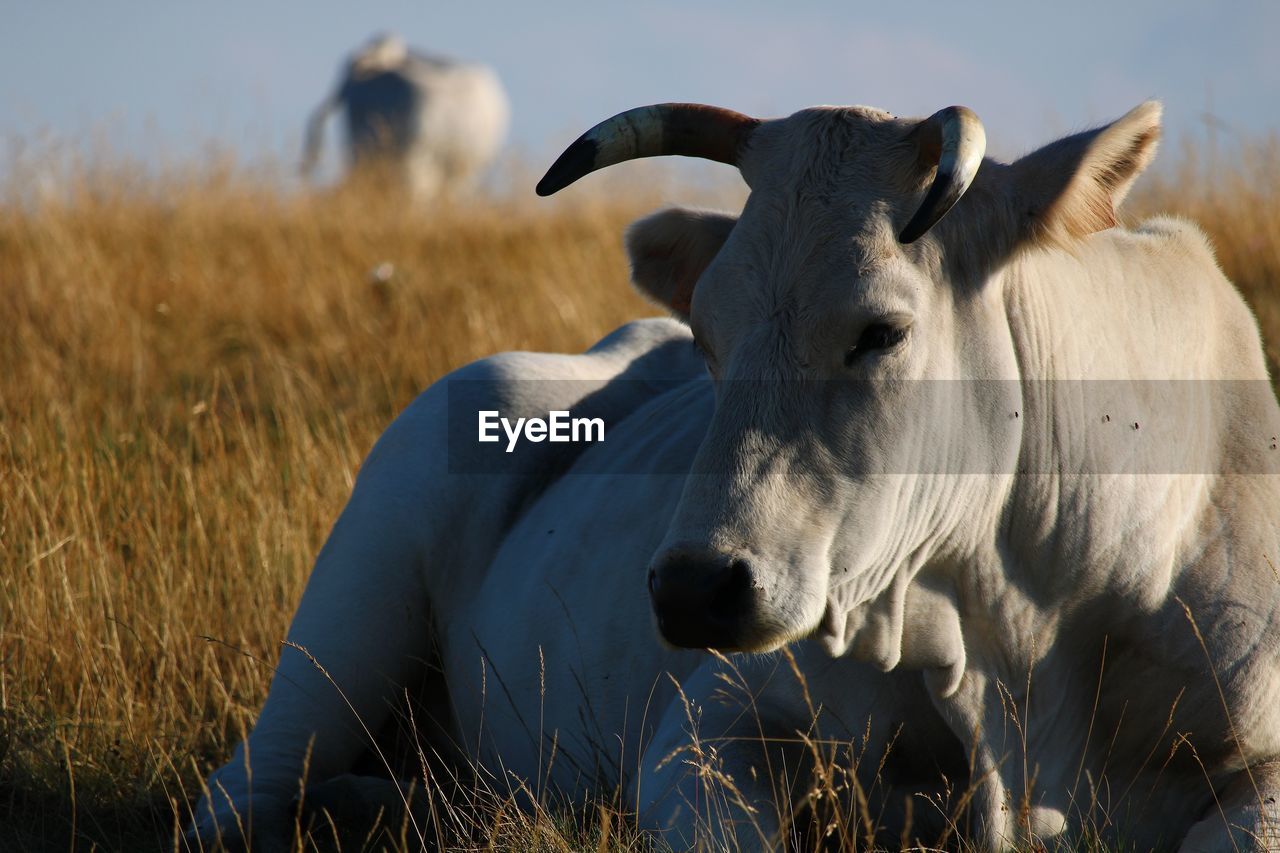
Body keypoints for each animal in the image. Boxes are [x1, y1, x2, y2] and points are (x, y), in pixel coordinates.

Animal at [186, 101, 1280, 850]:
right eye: (709, 336)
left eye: (881, 330)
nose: (693, 586)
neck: (1014, 643)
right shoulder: (707, 728)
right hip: (345, 615)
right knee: (239, 795)